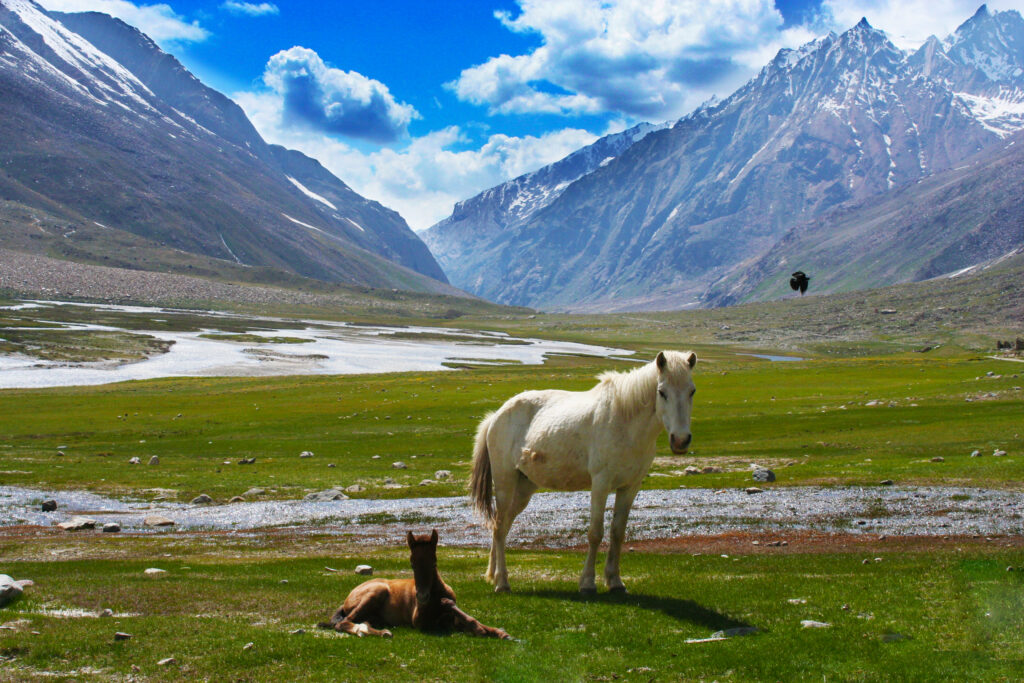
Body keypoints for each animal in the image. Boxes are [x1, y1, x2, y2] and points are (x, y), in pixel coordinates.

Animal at [318, 529, 511, 639]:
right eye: (412, 564)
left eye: (434, 562)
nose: (422, 597)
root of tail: (348, 597)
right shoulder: (419, 621)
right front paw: (480, 629)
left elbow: (466, 617)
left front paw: (498, 632)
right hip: (376, 592)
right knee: (344, 623)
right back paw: (371, 632)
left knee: (361, 621)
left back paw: (380, 631)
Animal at [470, 350, 697, 594]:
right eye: (662, 392)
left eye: (692, 391)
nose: (680, 440)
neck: (626, 424)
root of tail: (497, 415)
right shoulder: (601, 483)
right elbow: (595, 533)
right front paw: (587, 582)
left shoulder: (630, 487)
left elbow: (617, 533)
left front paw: (615, 581)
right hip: (505, 482)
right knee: (499, 527)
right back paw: (502, 582)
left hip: (524, 488)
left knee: (501, 527)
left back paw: (494, 575)